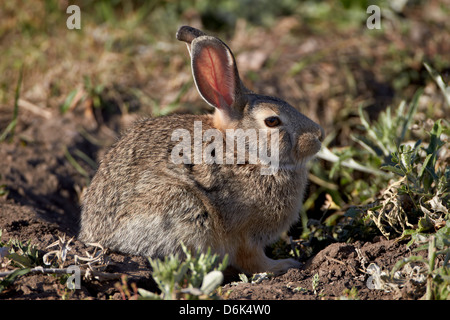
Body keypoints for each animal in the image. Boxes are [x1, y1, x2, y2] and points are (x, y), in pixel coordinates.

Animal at [78, 25, 324, 276]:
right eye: (272, 121)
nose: (318, 135)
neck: (244, 151)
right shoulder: (245, 234)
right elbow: (253, 260)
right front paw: (284, 265)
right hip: (183, 208)